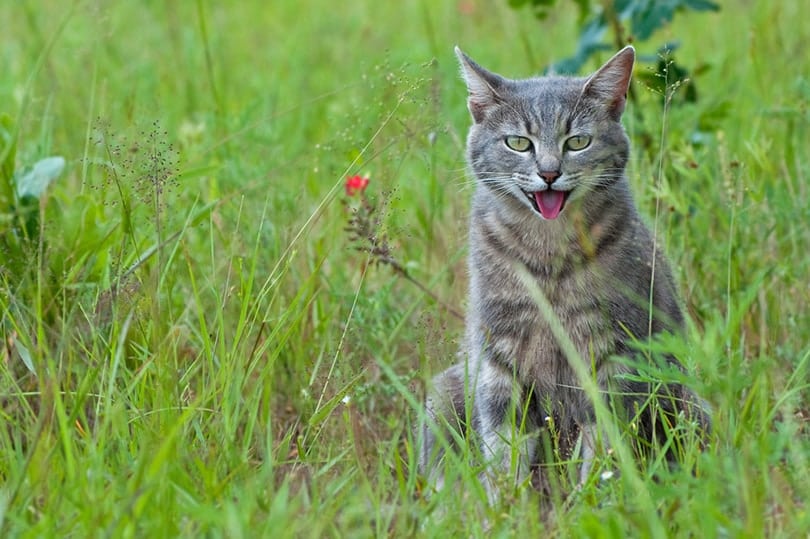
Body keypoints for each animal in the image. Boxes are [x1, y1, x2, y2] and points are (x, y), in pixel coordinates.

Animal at [420, 47, 712, 506]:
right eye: (518, 143)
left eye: (577, 141)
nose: (549, 173)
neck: (548, 255)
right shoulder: (499, 359)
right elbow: (503, 450)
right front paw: (506, 510)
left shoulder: (613, 356)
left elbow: (605, 451)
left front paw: (598, 504)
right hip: (445, 394)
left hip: (686, 403)